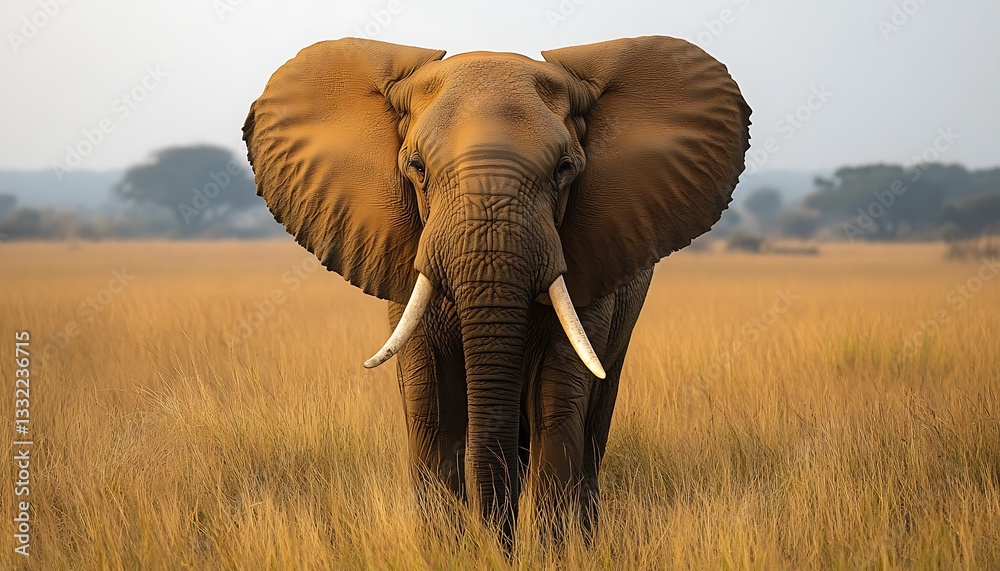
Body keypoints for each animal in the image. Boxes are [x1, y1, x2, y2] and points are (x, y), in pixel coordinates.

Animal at [243, 35, 750, 548]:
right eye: (416, 167)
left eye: (564, 169)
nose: (496, 545)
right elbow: (431, 404)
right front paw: (446, 550)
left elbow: (557, 399)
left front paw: (549, 552)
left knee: (591, 420)